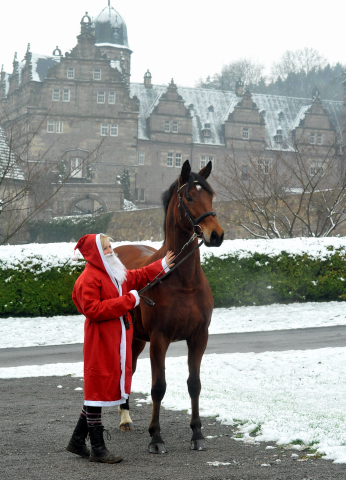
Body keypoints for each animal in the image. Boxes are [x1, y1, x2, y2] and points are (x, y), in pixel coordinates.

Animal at [115, 160, 224, 454]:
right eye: (189, 197)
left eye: (211, 195)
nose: (216, 235)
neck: (183, 280)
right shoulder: (159, 339)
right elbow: (158, 387)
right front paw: (156, 437)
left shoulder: (199, 337)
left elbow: (194, 384)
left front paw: (197, 434)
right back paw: (123, 417)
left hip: (137, 339)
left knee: (129, 370)